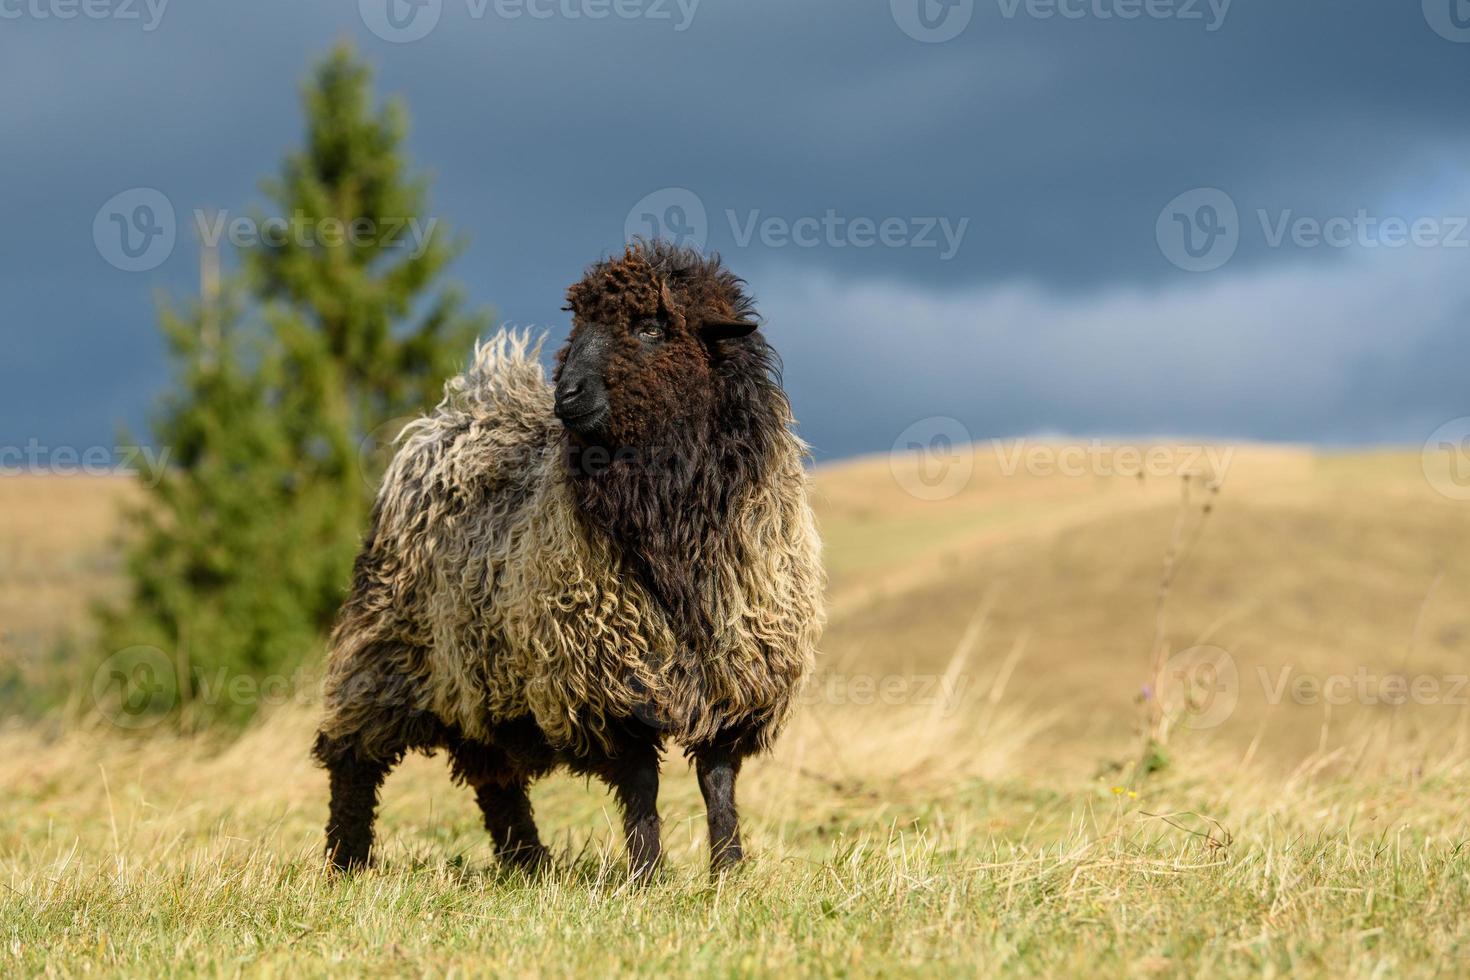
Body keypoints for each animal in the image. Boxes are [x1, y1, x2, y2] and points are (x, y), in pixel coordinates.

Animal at [311, 239, 829, 881]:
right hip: (385, 648)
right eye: (578, 324)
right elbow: (641, 784)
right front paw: (646, 876)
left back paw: (526, 863)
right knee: (352, 757)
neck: (672, 522)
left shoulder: (737, 673)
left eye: (652, 327)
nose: (568, 397)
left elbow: (718, 781)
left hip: (481, 674)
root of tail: (451, 420)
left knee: (493, 776)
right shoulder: (608, 674)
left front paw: (728, 872)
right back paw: (346, 861)